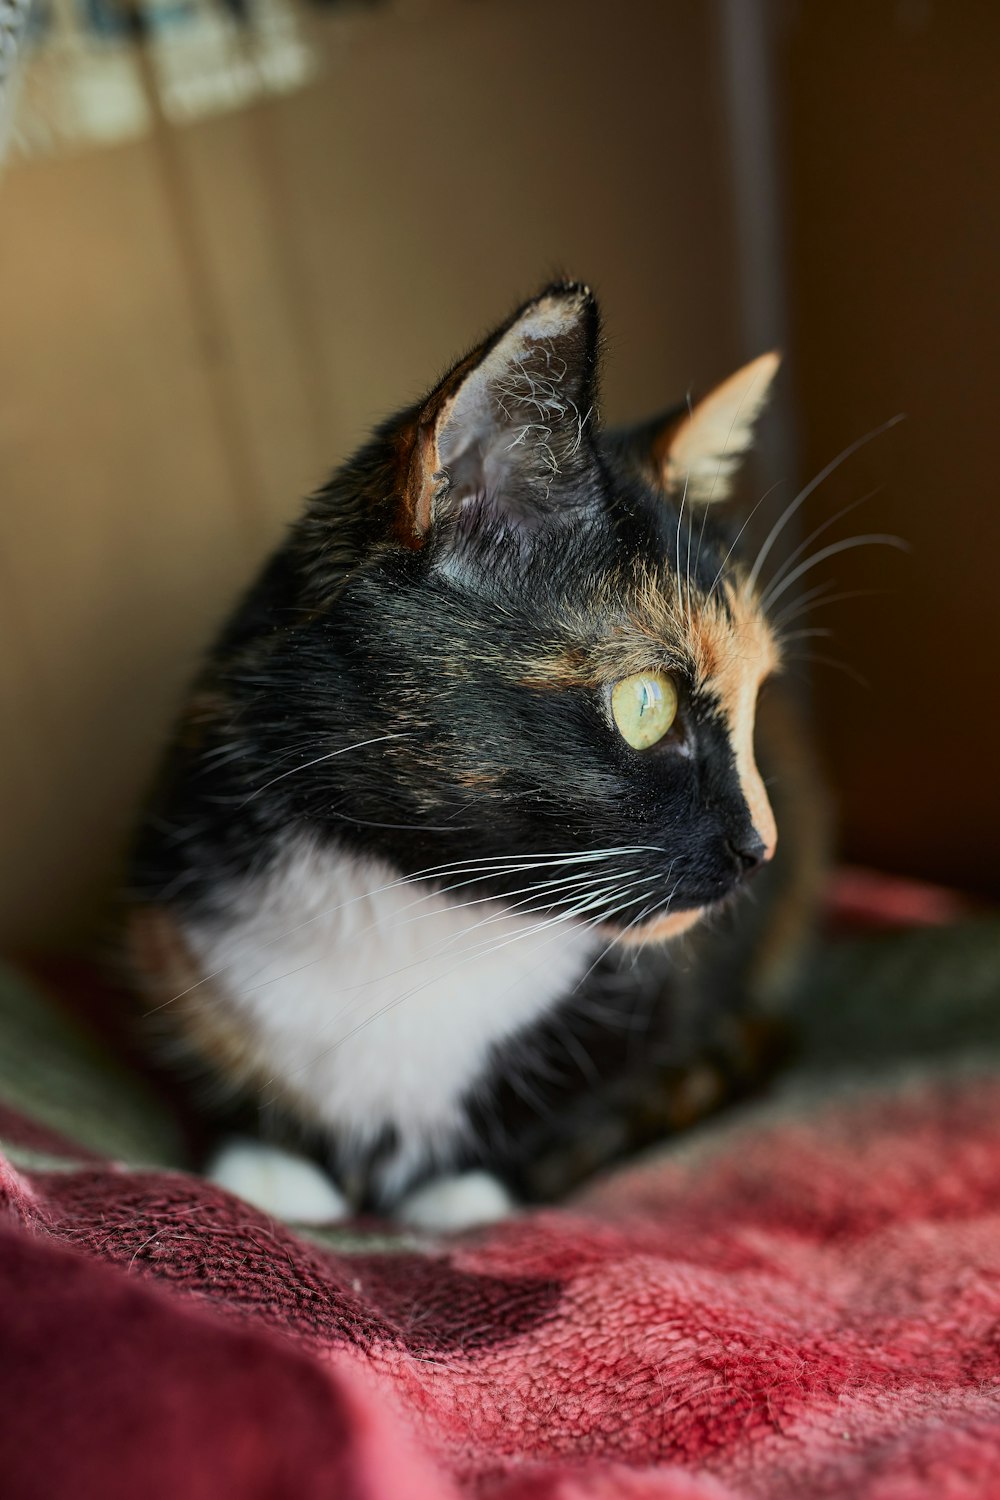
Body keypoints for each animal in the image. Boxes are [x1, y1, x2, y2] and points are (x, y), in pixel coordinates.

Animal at [128, 282, 827, 1230]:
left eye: (757, 699)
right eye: (646, 704)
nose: (763, 848)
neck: (413, 919)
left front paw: (462, 1192)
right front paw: (271, 1168)